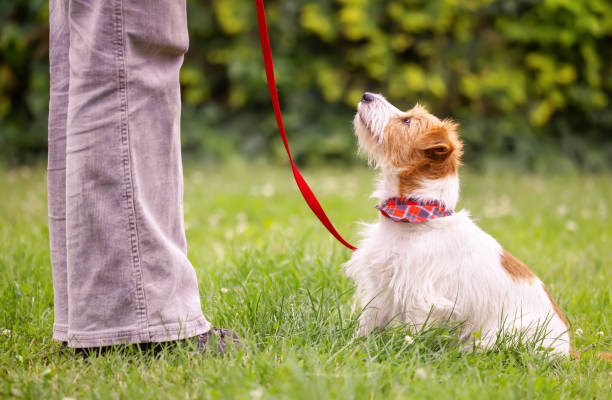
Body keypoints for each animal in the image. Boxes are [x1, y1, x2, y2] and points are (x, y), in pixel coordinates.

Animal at [344, 92, 568, 354]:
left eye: (407, 121)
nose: (367, 95)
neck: (415, 217)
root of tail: (570, 352)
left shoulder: (421, 297)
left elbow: (412, 333)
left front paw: (405, 354)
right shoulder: (381, 284)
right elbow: (368, 321)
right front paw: (354, 347)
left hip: (509, 333)